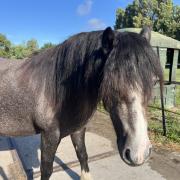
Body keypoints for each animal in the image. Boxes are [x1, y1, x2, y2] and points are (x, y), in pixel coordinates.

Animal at [0, 27, 163, 180]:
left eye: (154, 81)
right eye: (110, 83)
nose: (139, 154)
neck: (57, 90)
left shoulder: (78, 129)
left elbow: (83, 155)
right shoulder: (49, 135)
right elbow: (46, 169)